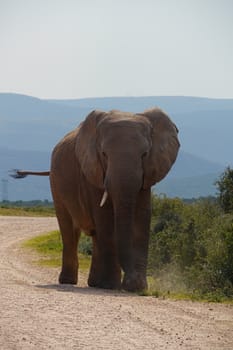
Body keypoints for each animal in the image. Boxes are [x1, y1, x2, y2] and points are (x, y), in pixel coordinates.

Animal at [12, 107, 180, 292]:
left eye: (145, 154)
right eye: (104, 154)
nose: (130, 282)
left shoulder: (146, 175)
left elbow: (141, 220)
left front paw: (137, 287)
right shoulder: (92, 171)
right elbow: (105, 219)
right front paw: (112, 286)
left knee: (94, 235)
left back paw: (94, 283)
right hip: (56, 183)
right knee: (69, 230)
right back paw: (70, 281)